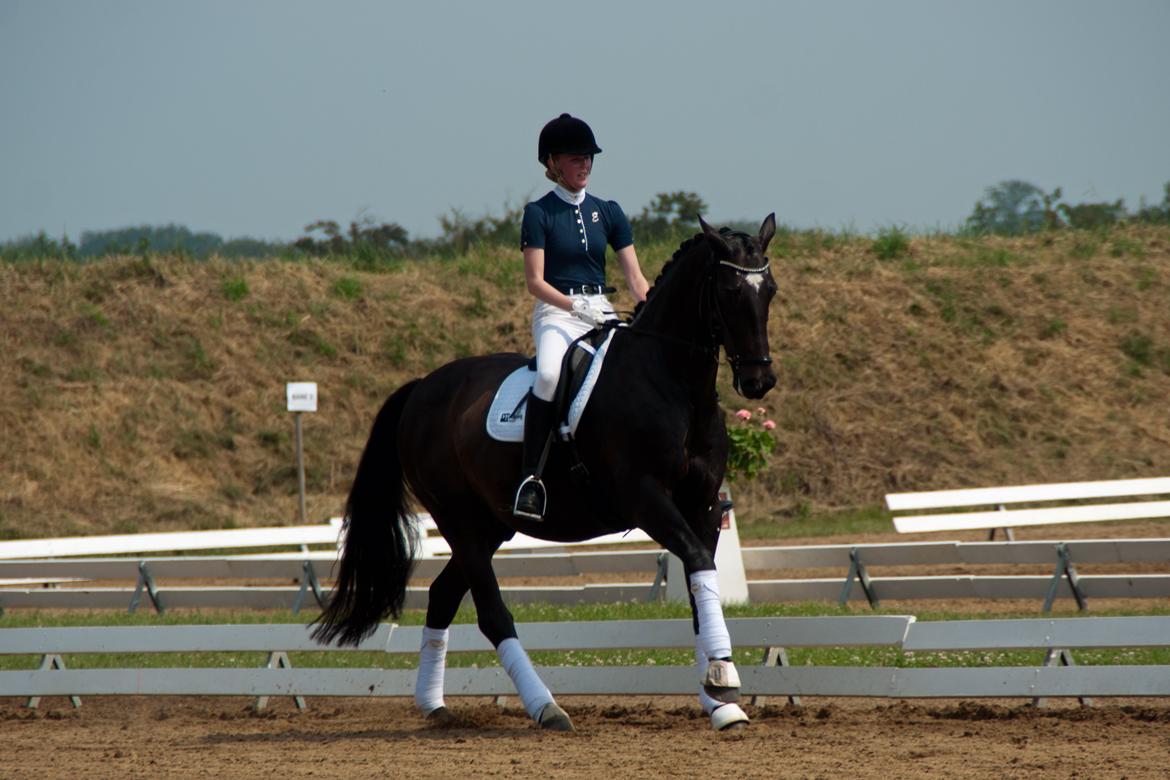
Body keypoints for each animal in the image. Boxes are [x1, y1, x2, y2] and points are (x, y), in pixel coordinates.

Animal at [315, 214, 781, 734]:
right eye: (729, 290)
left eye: (770, 291)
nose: (759, 381)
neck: (674, 385)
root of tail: (422, 388)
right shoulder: (645, 499)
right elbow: (699, 564)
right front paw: (722, 680)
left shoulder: (702, 505)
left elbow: (703, 587)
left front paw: (721, 700)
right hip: (458, 519)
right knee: (492, 615)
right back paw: (546, 707)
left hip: (489, 525)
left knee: (442, 596)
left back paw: (434, 705)